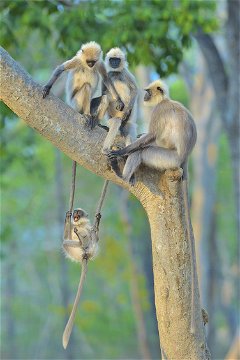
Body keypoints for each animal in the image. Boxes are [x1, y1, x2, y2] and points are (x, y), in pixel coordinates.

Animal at [62, 208, 99, 348]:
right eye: (75, 212)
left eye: (79, 212)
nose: (75, 214)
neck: (80, 224)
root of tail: (85, 255)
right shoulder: (74, 226)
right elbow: (66, 236)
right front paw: (67, 218)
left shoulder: (87, 228)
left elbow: (96, 237)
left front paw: (96, 223)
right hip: (75, 252)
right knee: (65, 242)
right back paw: (79, 240)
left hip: (89, 249)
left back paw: (81, 239)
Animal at [109, 79, 198, 334]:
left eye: (148, 92)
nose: (145, 96)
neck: (165, 101)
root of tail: (183, 160)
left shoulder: (159, 111)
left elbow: (150, 137)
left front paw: (122, 151)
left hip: (167, 159)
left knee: (144, 151)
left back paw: (122, 173)